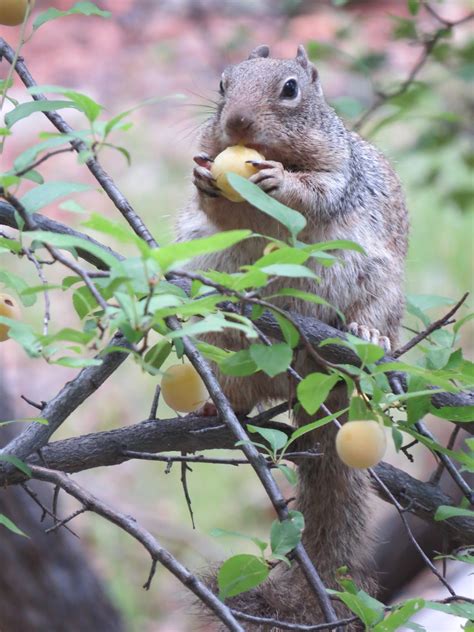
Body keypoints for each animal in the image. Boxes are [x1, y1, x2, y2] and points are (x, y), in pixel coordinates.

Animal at [176, 43, 410, 628]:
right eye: (222, 83)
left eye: (290, 89)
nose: (236, 122)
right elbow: (220, 211)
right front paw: (205, 180)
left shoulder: (341, 174)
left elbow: (318, 192)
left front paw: (280, 182)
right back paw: (220, 402)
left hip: (377, 281)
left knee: (373, 312)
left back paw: (368, 330)